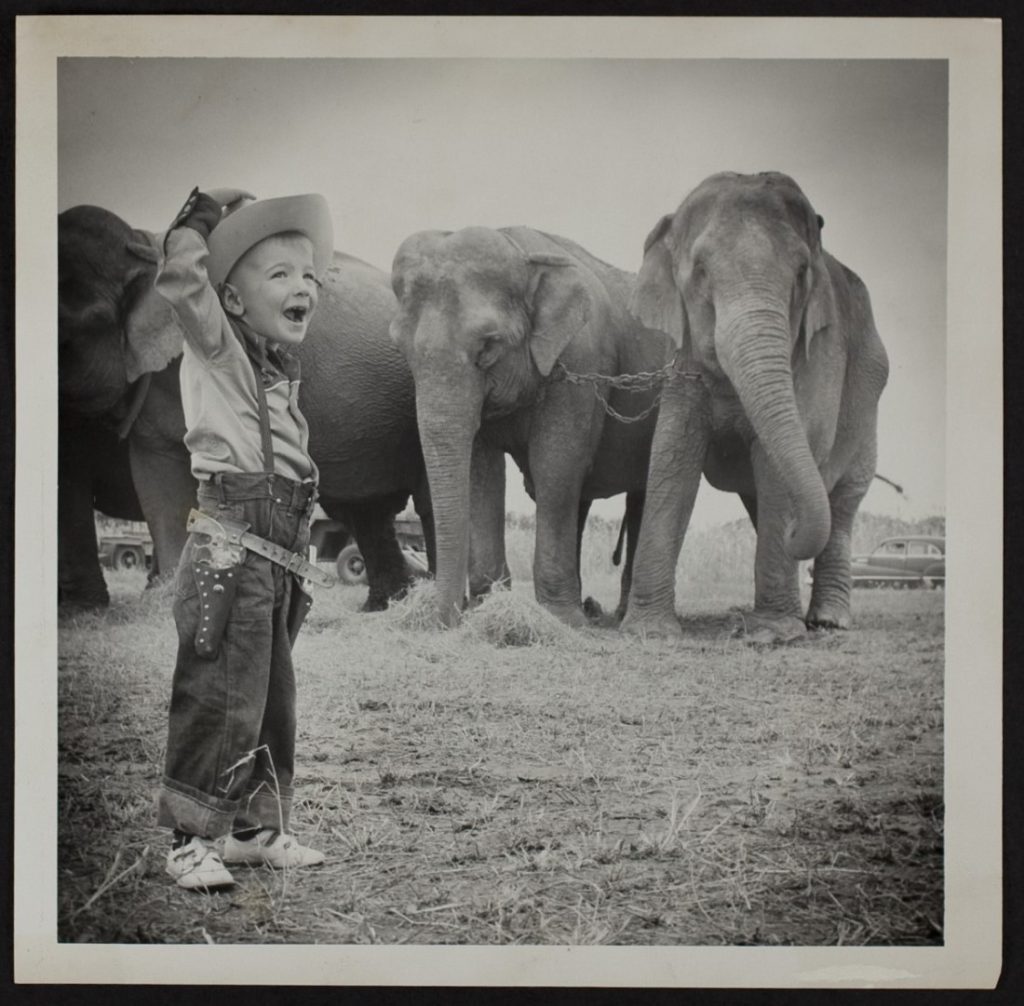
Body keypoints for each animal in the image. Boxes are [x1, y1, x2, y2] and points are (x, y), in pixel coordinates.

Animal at [389, 226, 671, 631]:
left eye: (488, 347)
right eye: (401, 349)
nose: (440, 621)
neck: (520, 251)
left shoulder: (580, 360)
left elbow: (555, 464)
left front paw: (560, 619)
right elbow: (482, 471)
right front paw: (489, 606)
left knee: (638, 496)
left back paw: (613, 614)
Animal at [618, 171, 892, 647]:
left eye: (801, 273)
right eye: (700, 272)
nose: (796, 534)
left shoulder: (814, 355)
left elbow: (774, 466)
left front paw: (773, 634)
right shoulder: (683, 361)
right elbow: (672, 458)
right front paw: (649, 632)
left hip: (868, 407)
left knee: (842, 502)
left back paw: (826, 621)